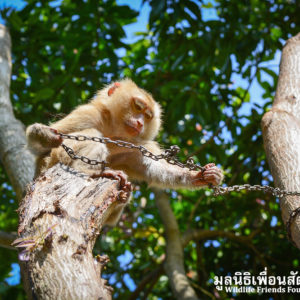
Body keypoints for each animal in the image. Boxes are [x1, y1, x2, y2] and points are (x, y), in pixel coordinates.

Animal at [26, 79, 223, 225]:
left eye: (148, 116)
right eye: (138, 107)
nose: (140, 123)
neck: (114, 130)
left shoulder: (137, 144)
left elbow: (154, 168)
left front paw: (202, 175)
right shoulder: (87, 114)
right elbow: (41, 148)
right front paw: (42, 134)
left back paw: (123, 196)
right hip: (53, 163)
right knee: (90, 136)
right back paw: (93, 172)